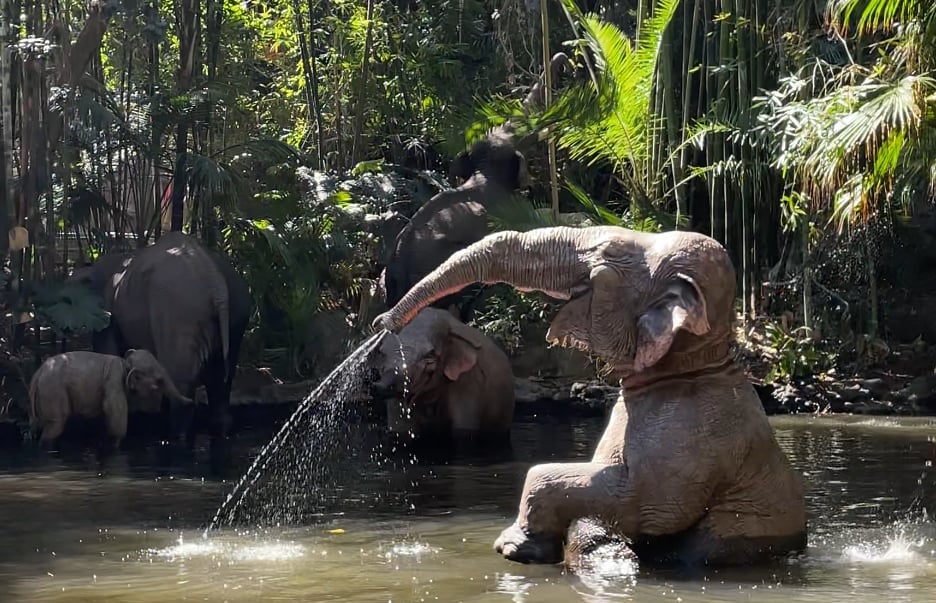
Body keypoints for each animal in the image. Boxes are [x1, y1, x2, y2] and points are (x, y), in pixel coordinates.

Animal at [29, 349, 191, 448]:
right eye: (159, 381)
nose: (193, 401)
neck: (126, 363)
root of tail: (38, 373)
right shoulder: (114, 382)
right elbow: (115, 414)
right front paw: (115, 445)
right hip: (53, 392)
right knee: (54, 426)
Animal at [68, 232, 252, 455]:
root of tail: (216, 283)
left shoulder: (107, 314)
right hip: (237, 311)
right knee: (221, 379)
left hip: (179, 311)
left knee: (183, 381)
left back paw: (175, 442)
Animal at [369, 307, 515, 443]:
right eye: (382, 352)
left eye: (430, 355)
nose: (378, 386)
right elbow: (401, 431)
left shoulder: (470, 384)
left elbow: (463, 433)